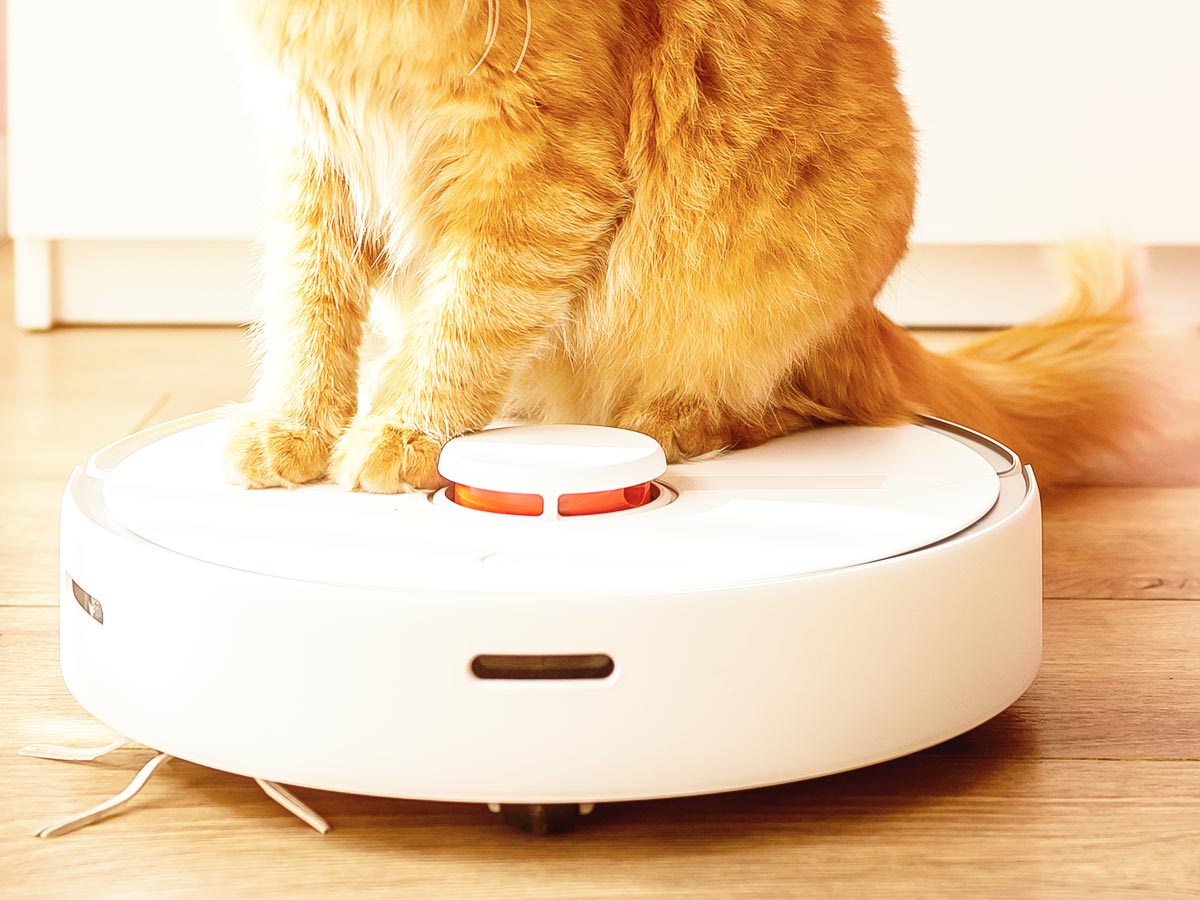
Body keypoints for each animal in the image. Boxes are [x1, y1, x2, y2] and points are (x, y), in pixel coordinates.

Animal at [225, 0, 1161, 494]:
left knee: (775, 408)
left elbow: (465, 321)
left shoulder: (541, 172)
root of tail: (866, 321)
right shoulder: (311, 157)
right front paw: (292, 427)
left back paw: (665, 423)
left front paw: (406, 430)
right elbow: (307, 320)